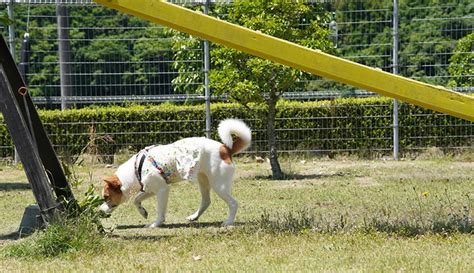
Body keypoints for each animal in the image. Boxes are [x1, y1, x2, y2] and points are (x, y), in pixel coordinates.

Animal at [98, 118, 250, 226]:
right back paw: (194, 216)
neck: (136, 170)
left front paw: (156, 224)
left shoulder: (162, 190)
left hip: (219, 185)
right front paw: (143, 212)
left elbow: (160, 210)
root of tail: (225, 148)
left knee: (233, 203)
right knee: (206, 201)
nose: (99, 211)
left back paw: (228, 222)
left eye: (106, 197)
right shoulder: (150, 188)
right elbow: (136, 200)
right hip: (203, 181)